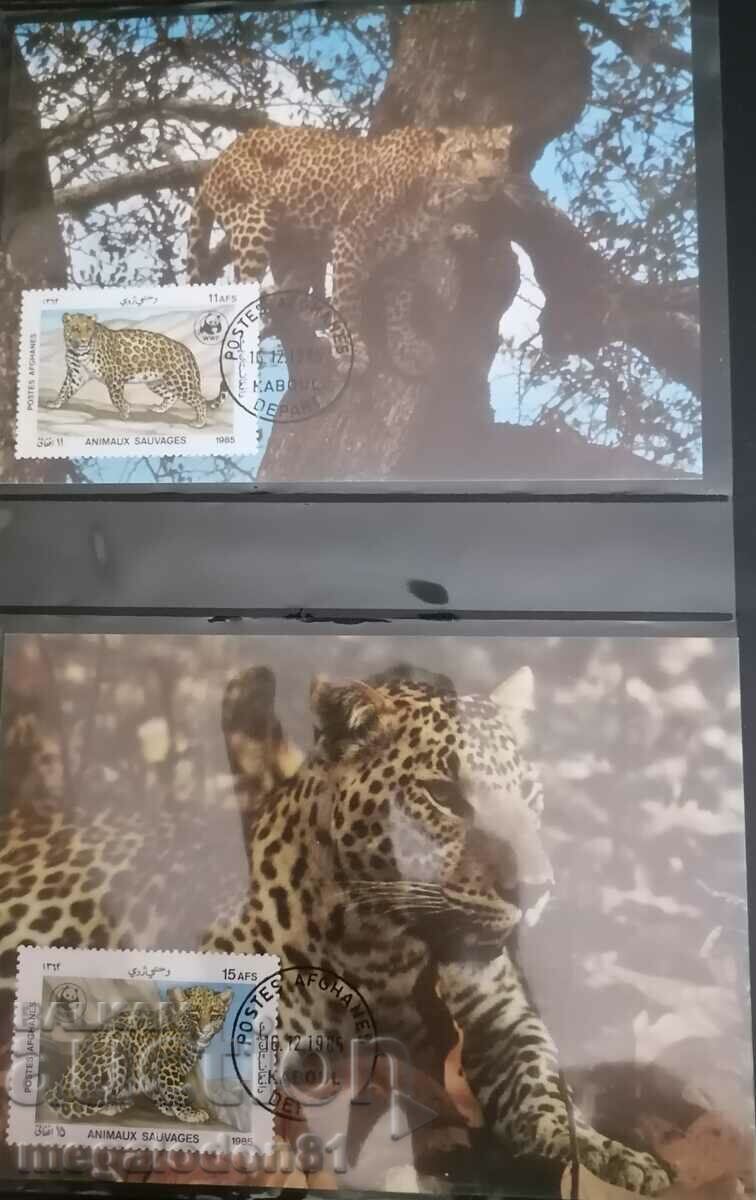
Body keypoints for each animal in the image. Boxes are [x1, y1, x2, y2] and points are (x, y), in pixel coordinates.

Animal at [44, 985, 232, 1123]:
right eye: (194, 1014)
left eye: (214, 1014)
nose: (205, 1031)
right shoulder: (168, 1065)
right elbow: (175, 1090)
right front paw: (188, 1113)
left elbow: (156, 1087)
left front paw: (166, 1106)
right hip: (115, 1055)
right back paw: (111, 1106)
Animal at [49, 312, 210, 428]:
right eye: (75, 328)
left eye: (89, 329)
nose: (84, 340)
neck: (78, 353)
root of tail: (186, 351)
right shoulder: (76, 375)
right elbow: (64, 390)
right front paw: (55, 404)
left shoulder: (114, 376)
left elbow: (115, 397)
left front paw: (125, 410)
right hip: (155, 382)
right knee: (171, 395)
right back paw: (160, 409)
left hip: (181, 381)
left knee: (199, 400)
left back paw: (199, 422)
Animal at [187, 124, 512, 377]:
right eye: (465, 155)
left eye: (498, 154)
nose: (488, 179)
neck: (435, 194)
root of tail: (219, 159)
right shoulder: (350, 237)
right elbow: (348, 299)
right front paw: (348, 352)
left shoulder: (406, 255)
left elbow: (401, 305)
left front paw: (404, 347)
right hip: (253, 220)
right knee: (244, 282)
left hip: (300, 243)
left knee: (292, 287)